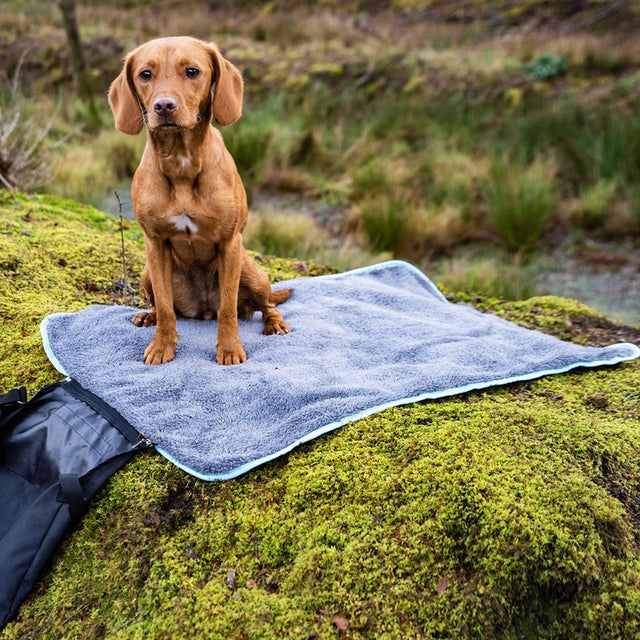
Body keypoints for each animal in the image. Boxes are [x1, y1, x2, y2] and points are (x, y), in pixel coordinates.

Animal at [108, 36, 292, 364]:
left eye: (192, 71)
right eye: (145, 74)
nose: (164, 106)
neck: (181, 161)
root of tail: (202, 310)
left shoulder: (230, 243)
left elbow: (228, 309)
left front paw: (229, 349)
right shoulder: (155, 244)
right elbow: (166, 307)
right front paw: (162, 346)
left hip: (251, 271)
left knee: (267, 305)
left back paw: (275, 323)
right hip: (147, 272)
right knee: (162, 305)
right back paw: (148, 316)